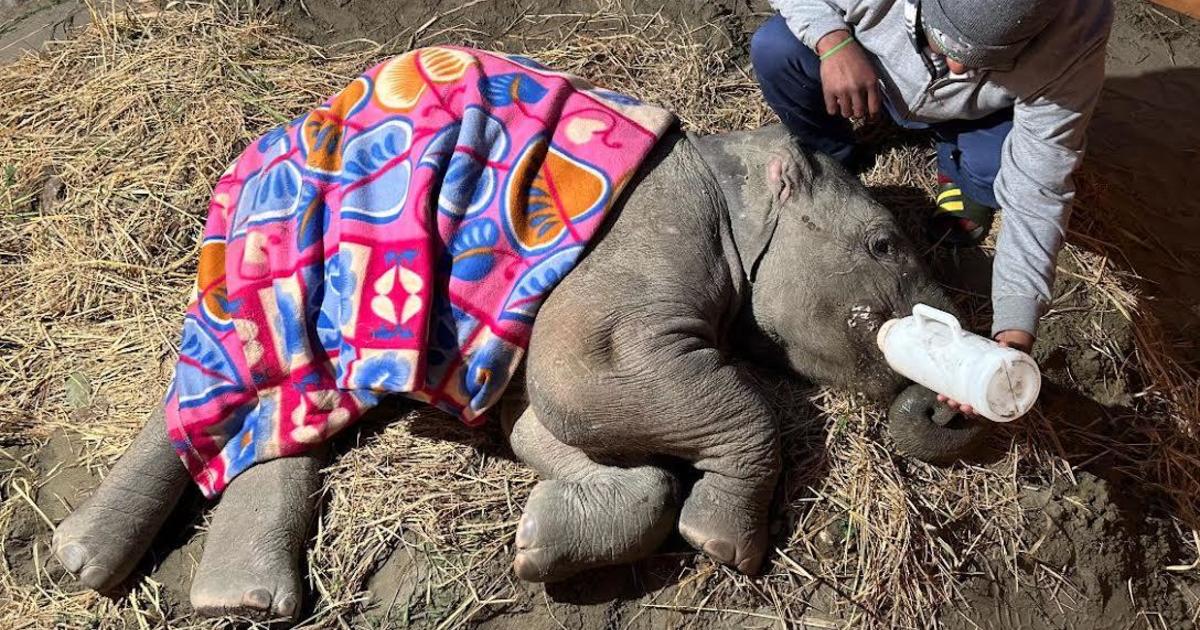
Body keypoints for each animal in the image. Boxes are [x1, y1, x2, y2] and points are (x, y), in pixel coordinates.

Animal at [50, 123, 986, 621]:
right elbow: (580, 374)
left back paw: (220, 595)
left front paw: (537, 545)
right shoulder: (646, 240)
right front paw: (719, 543)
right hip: (284, 239)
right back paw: (113, 571)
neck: (734, 168)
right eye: (884, 245)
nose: (952, 404)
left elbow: (542, 418)